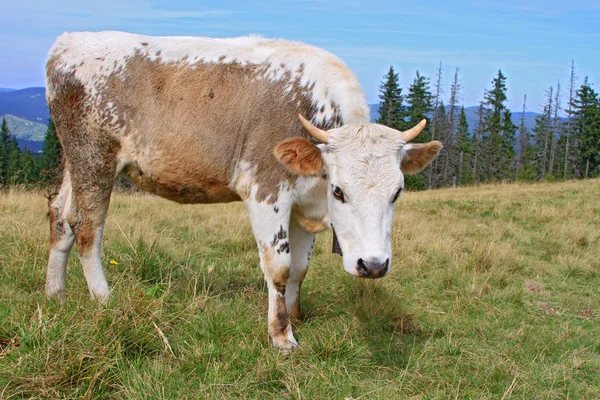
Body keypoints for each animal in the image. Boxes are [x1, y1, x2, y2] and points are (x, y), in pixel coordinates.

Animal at [45, 31, 440, 350]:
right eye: (340, 191)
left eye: (397, 192)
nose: (372, 265)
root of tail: (69, 42)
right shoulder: (266, 190)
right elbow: (279, 266)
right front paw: (281, 336)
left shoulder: (302, 204)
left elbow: (299, 269)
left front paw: (295, 317)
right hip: (94, 158)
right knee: (87, 228)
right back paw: (103, 298)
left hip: (73, 159)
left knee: (61, 217)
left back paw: (55, 295)